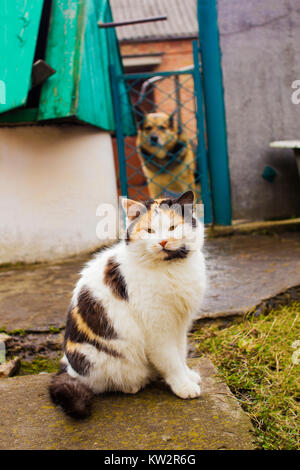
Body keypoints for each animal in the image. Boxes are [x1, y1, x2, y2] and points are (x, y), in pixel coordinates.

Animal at [50, 191, 207, 418]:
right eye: (149, 231)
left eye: (172, 227)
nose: (163, 242)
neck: (171, 268)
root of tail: (69, 367)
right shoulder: (158, 329)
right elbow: (171, 360)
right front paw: (183, 385)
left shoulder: (180, 324)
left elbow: (181, 352)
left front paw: (188, 375)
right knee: (103, 384)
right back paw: (134, 384)